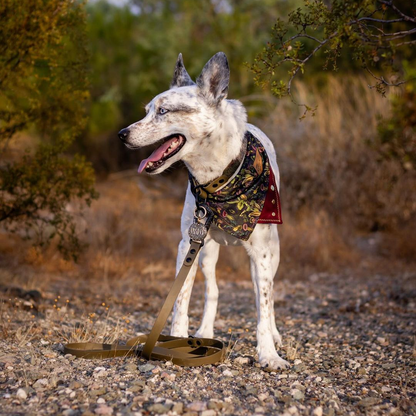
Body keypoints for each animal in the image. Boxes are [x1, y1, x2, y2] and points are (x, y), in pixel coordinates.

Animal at [118, 52, 290, 370]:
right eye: (147, 111)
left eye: (163, 111)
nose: (122, 134)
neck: (217, 183)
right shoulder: (188, 244)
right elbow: (181, 300)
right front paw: (175, 341)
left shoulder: (261, 253)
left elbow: (263, 305)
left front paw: (269, 354)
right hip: (207, 253)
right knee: (213, 290)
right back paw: (205, 332)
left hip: (273, 253)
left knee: (267, 297)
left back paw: (274, 335)